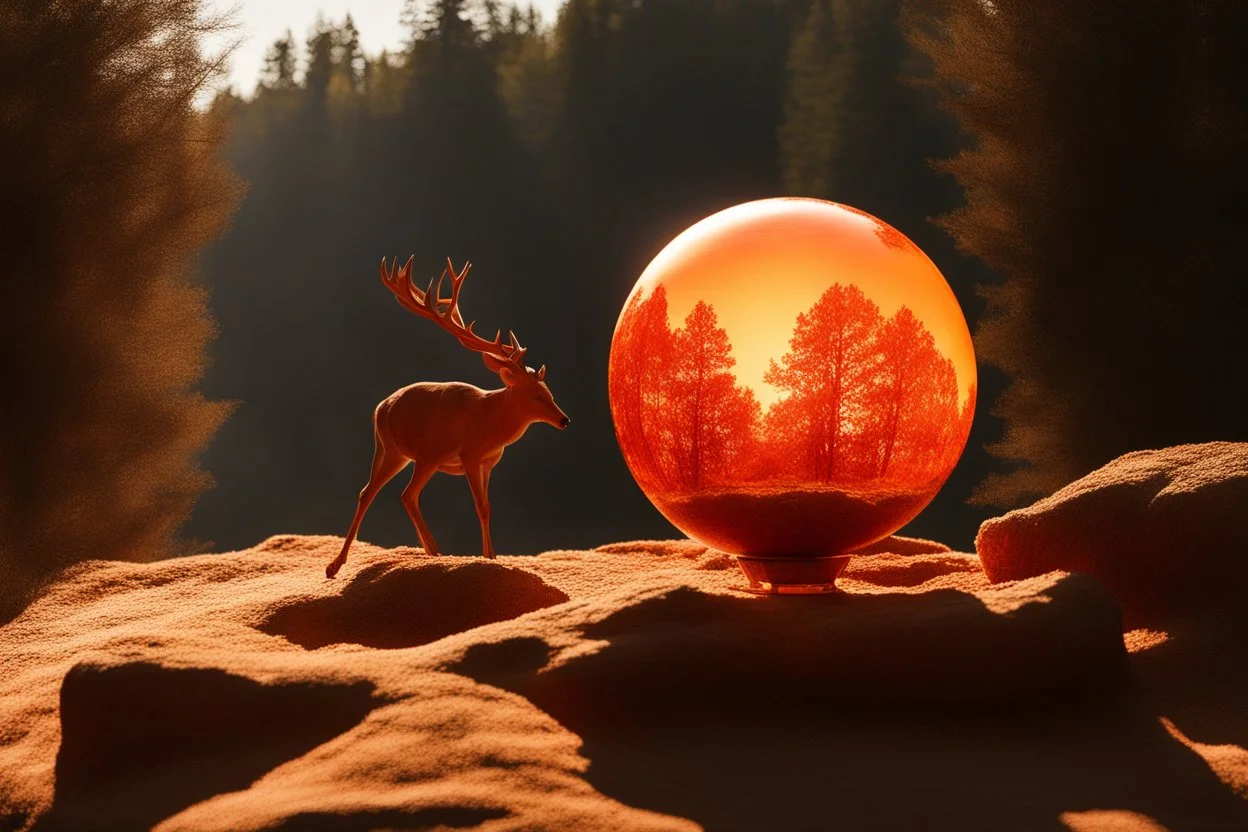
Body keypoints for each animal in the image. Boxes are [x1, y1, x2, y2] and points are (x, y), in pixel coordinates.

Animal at [326, 255, 571, 578]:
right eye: (535, 395)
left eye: (548, 390)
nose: (564, 420)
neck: (490, 421)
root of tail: (380, 407)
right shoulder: (469, 455)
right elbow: (480, 505)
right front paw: (488, 559)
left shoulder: (488, 462)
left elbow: (487, 506)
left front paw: (492, 557)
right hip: (424, 453)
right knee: (404, 494)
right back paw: (429, 551)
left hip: (394, 451)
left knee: (371, 491)